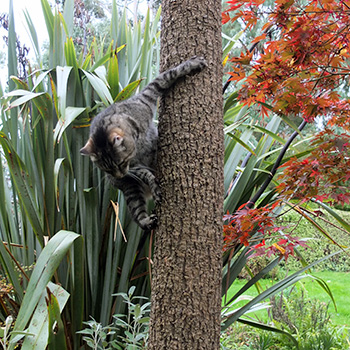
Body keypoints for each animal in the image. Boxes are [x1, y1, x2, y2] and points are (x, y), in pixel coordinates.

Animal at [80, 55, 206, 230]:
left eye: (119, 164)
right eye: (108, 170)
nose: (120, 175)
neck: (137, 144)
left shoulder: (148, 94)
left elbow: (169, 75)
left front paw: (191, 64)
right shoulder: (134, 168)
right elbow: (145, 173)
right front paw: (154, 183)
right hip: (131, 189)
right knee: (137, 214)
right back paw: (146, 221)